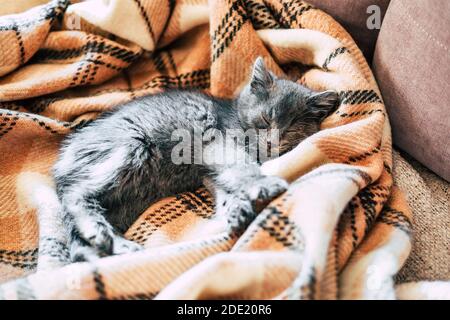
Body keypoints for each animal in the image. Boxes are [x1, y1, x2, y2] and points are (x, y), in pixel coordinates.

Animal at [52, 57, 338, 262]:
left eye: (291, 127)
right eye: (266, 119)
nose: (272, 141)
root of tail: (64, 156)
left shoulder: (209, 171)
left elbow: (225, 186)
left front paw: (235, 209)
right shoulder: (219, 145)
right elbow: (241, 167)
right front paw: (262, 185)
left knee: (78, 240)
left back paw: (114, 246)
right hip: (130, 146)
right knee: (76, 195)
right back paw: (104, 235)